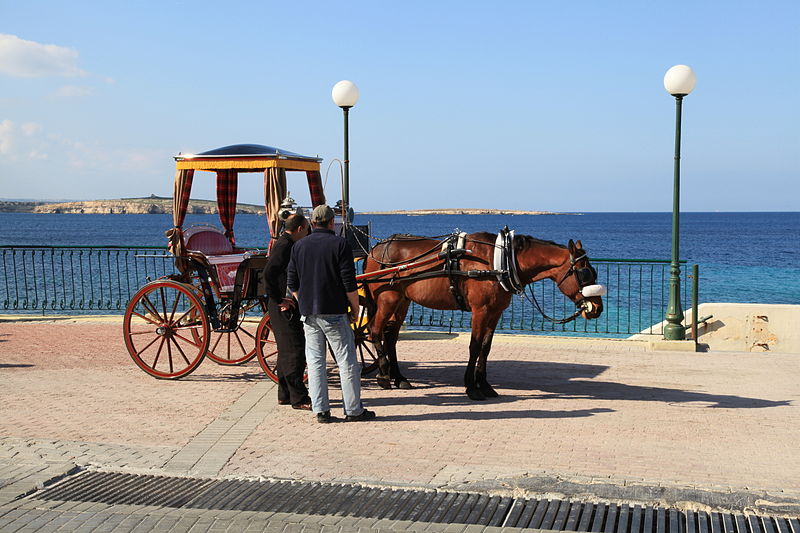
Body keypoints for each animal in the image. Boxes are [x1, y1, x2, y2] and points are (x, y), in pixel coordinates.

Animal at [360, 231, 604, 402]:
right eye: (584, 273)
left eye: (594, 272)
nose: (597, 308)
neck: (499, 262)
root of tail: (375, 248)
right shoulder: (480, 310)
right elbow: (475, 346)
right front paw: (471, 387)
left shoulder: (495, 313)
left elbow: (486, 348)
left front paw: (484, 384)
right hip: (387, 299)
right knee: (374, 330)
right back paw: (383, 375)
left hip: (402, 301)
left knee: (391, 337)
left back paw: (399, 378)